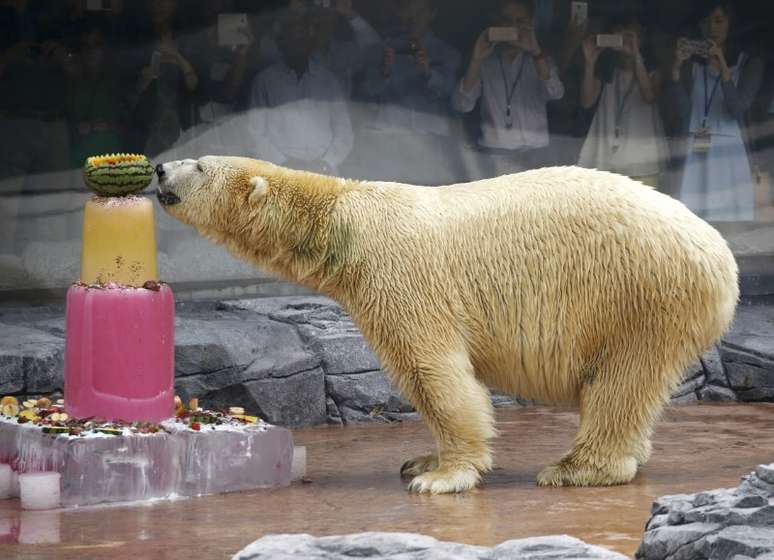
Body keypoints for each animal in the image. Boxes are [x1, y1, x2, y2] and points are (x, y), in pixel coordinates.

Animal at [156, 158, 740, 494]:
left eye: (201, 165)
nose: (160, 168)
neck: (342, 216)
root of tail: (721, 256)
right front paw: (421, 461)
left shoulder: (398, 276)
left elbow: (433, 371)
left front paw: (441, 477)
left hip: (638, 294)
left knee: (619, 381)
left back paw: (575, 468)